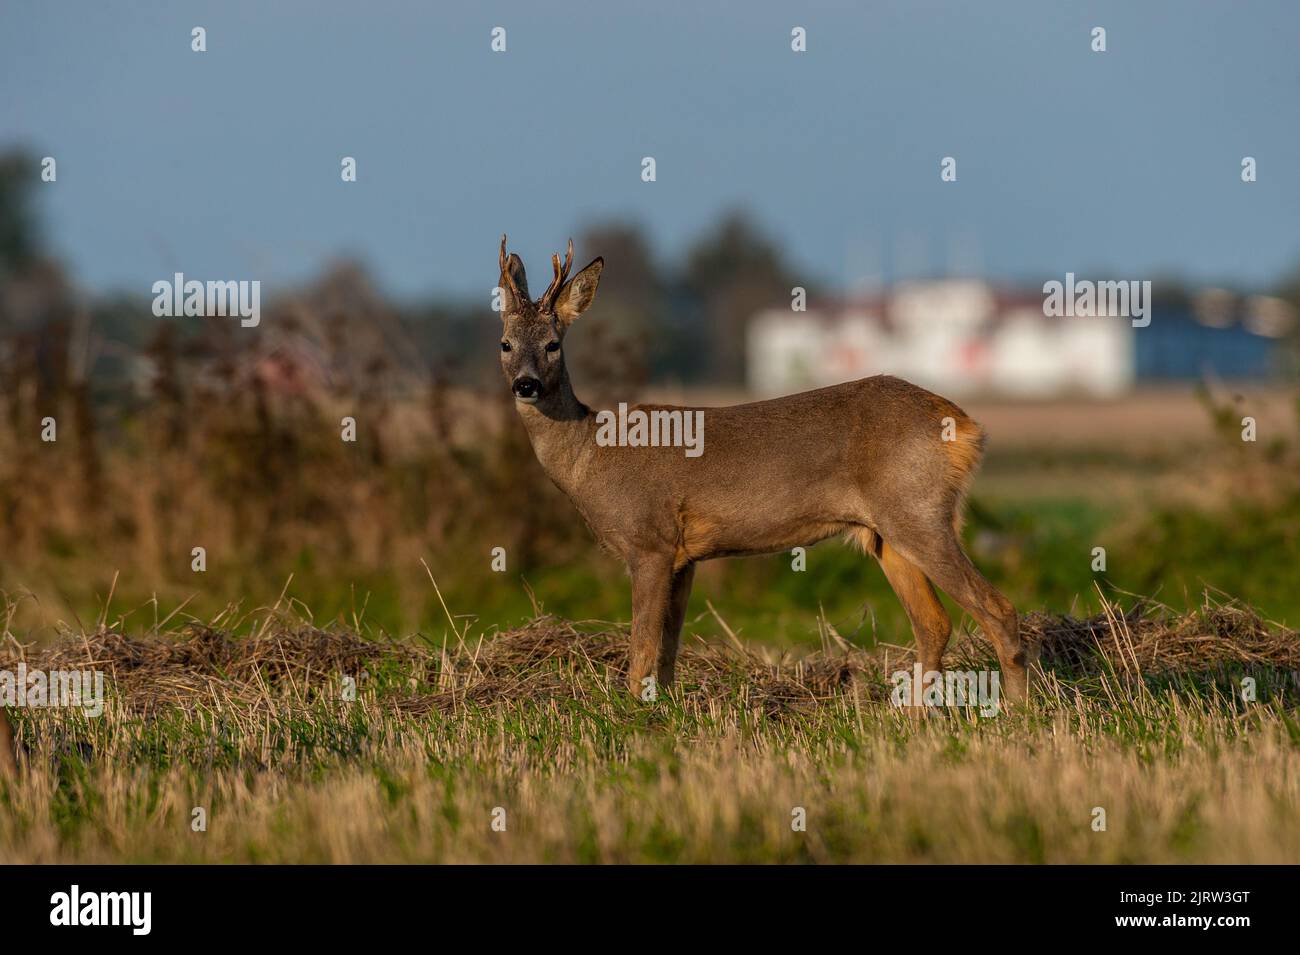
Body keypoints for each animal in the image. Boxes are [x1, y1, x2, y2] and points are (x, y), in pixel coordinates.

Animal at [495, 236, 1031, 707]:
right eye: (504, 343)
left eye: (553, 344)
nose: (526, 385)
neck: (592, 455)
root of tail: (965, 425)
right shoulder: (685, 556)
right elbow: (668, 650)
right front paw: (661, 710)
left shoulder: (650, 541)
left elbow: (643, 647)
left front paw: (629, 714)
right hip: (886, 533)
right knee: (933, 623)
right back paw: (914, 716)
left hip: (918, 511)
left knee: (997, 608)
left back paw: (1018, 711)